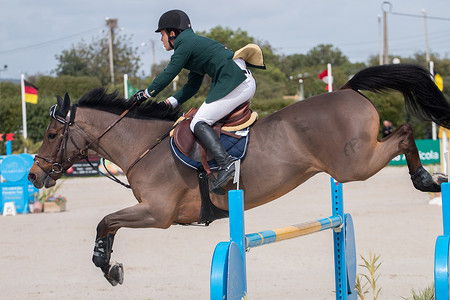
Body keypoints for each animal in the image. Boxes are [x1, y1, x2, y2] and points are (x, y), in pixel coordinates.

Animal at [28, 64, 450, 284]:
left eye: (50, 134)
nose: (33, 176)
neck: (144, 146)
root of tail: (346, 89)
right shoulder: (154, 213)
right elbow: (109, 223)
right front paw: (110, 265)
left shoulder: (158, 214)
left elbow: (105, 221)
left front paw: (105, 265)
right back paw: (429, 179)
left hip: (355, 164)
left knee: (404, 132)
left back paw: (427, 180)